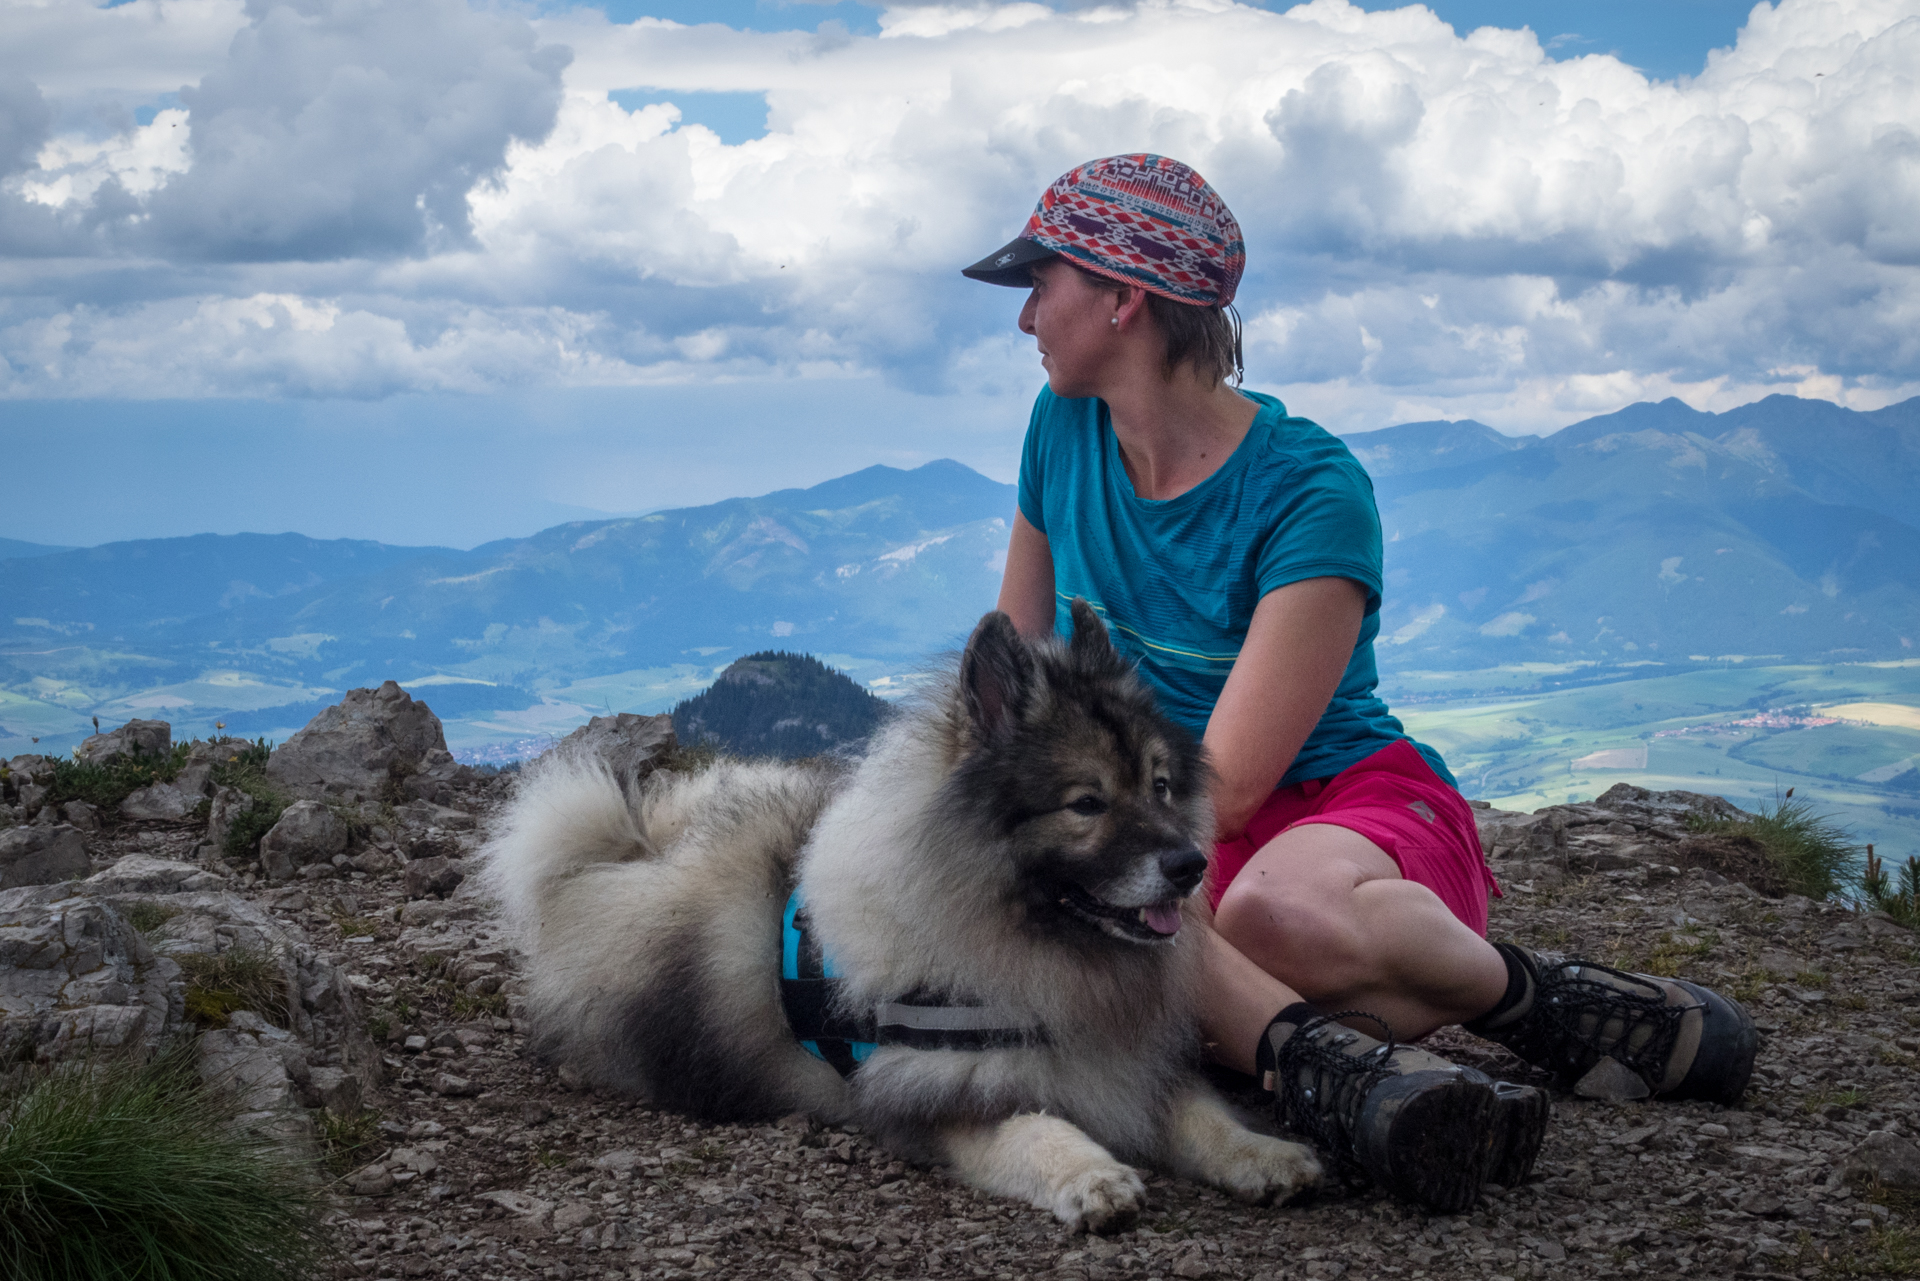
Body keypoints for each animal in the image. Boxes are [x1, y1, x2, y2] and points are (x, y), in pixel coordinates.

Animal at [480, 606, 1320, 1229]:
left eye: (1161, 786)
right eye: (1087, 803)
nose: (1190, 864)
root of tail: (623, 856)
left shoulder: (1127, 1060)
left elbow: (1198, 1113)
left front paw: (1264, 1153)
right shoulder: (941, 1099)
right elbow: (1035, 1127)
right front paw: (1092, 1175)